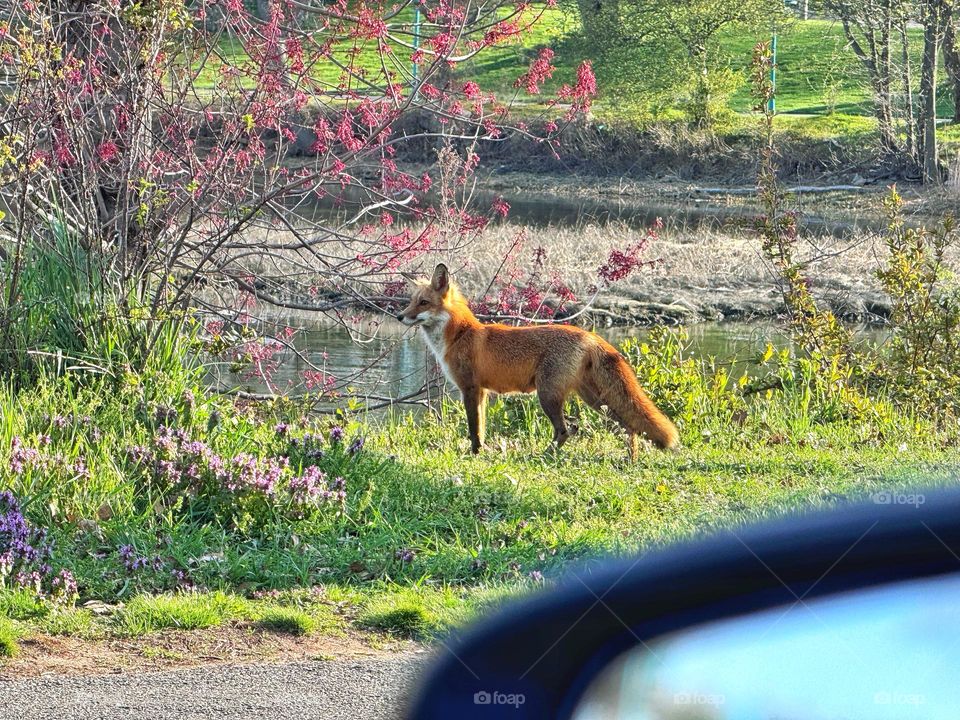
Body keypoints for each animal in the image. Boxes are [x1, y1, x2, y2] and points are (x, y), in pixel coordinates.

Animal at [398, 262, 684, 456]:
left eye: (423, 303)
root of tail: (588, 335)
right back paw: (629, 459)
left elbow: (474, 428)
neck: (459, 335)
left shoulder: (470, 388)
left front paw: (475, 453)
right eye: (411, 301)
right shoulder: (482, 392)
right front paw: (483, 451)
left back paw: (544, 455)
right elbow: (482, 426)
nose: (400, 316)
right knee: (627, 426)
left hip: (548, 395)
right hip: (594, 399)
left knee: (566, 429)